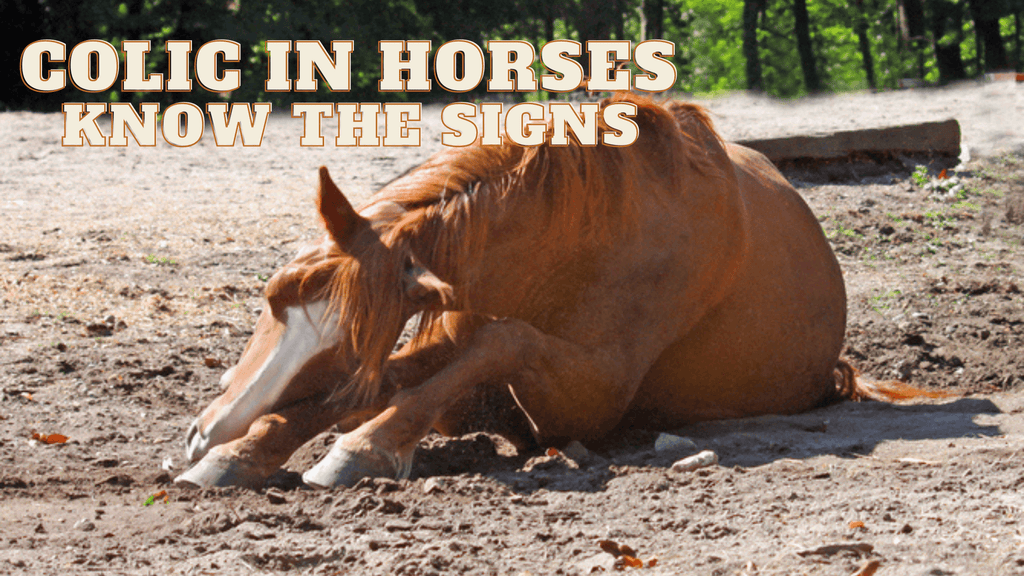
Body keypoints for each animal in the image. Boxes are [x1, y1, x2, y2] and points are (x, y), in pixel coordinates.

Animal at [176, 93, 930, 489]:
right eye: (274, 295)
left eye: (347, 343)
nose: (205, 426)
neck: (586, 233)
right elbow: (391, 380)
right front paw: (238, 452)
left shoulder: (587, 396)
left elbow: (496, 344)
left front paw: (363, 447)